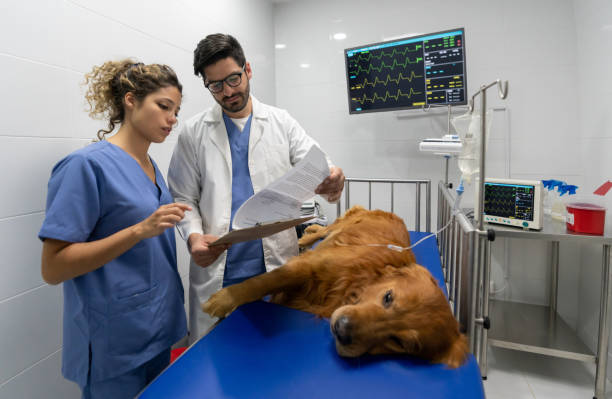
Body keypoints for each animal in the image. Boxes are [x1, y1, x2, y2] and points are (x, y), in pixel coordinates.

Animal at [204, 206, 468, 368]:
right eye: (388, 297)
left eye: (399, 343)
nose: (343, 330)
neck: (352, 285)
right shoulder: (308, 265)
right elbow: (263, 282)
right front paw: (225, 298)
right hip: (347, 222)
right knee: (327, 228)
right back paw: (308, 234)